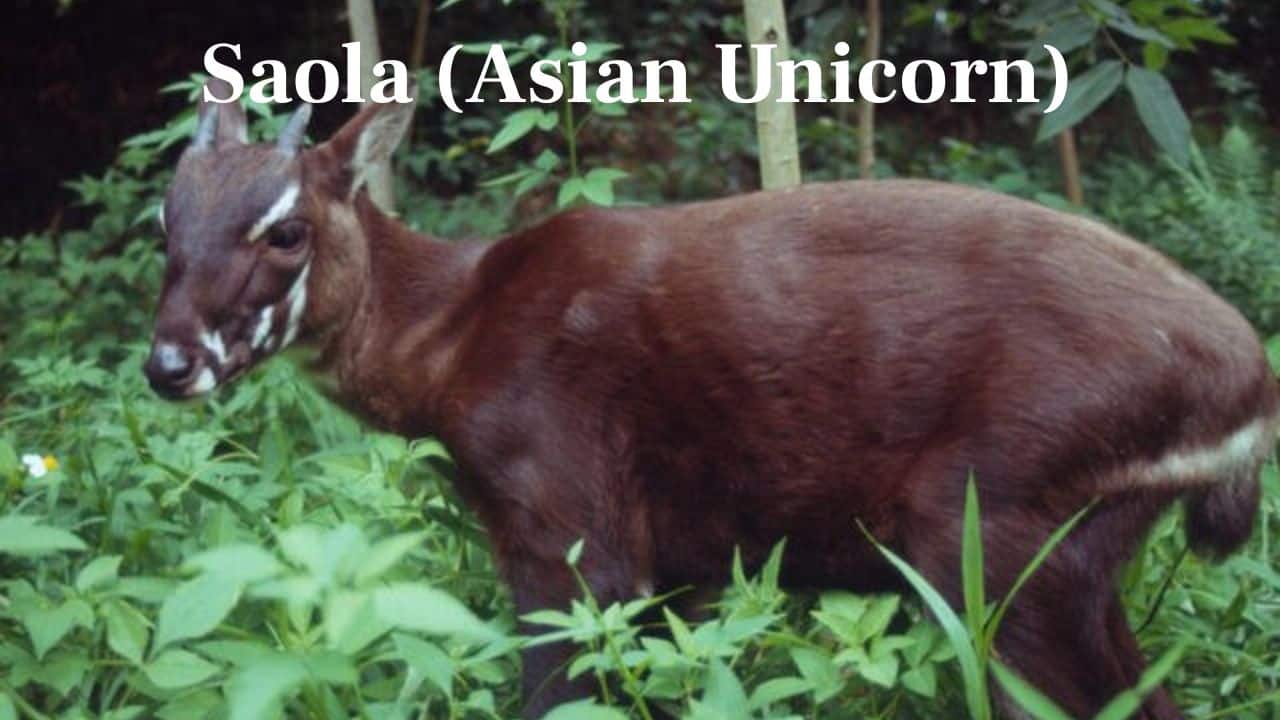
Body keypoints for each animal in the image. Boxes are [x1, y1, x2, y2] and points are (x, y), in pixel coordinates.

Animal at [145, 81, 1278, 719]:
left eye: (286, 229)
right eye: (167, 217)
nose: (167, 364)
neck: (452, 342)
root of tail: (1248, 391)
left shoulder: (571, 530)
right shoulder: (681, 568)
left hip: (992, 525)